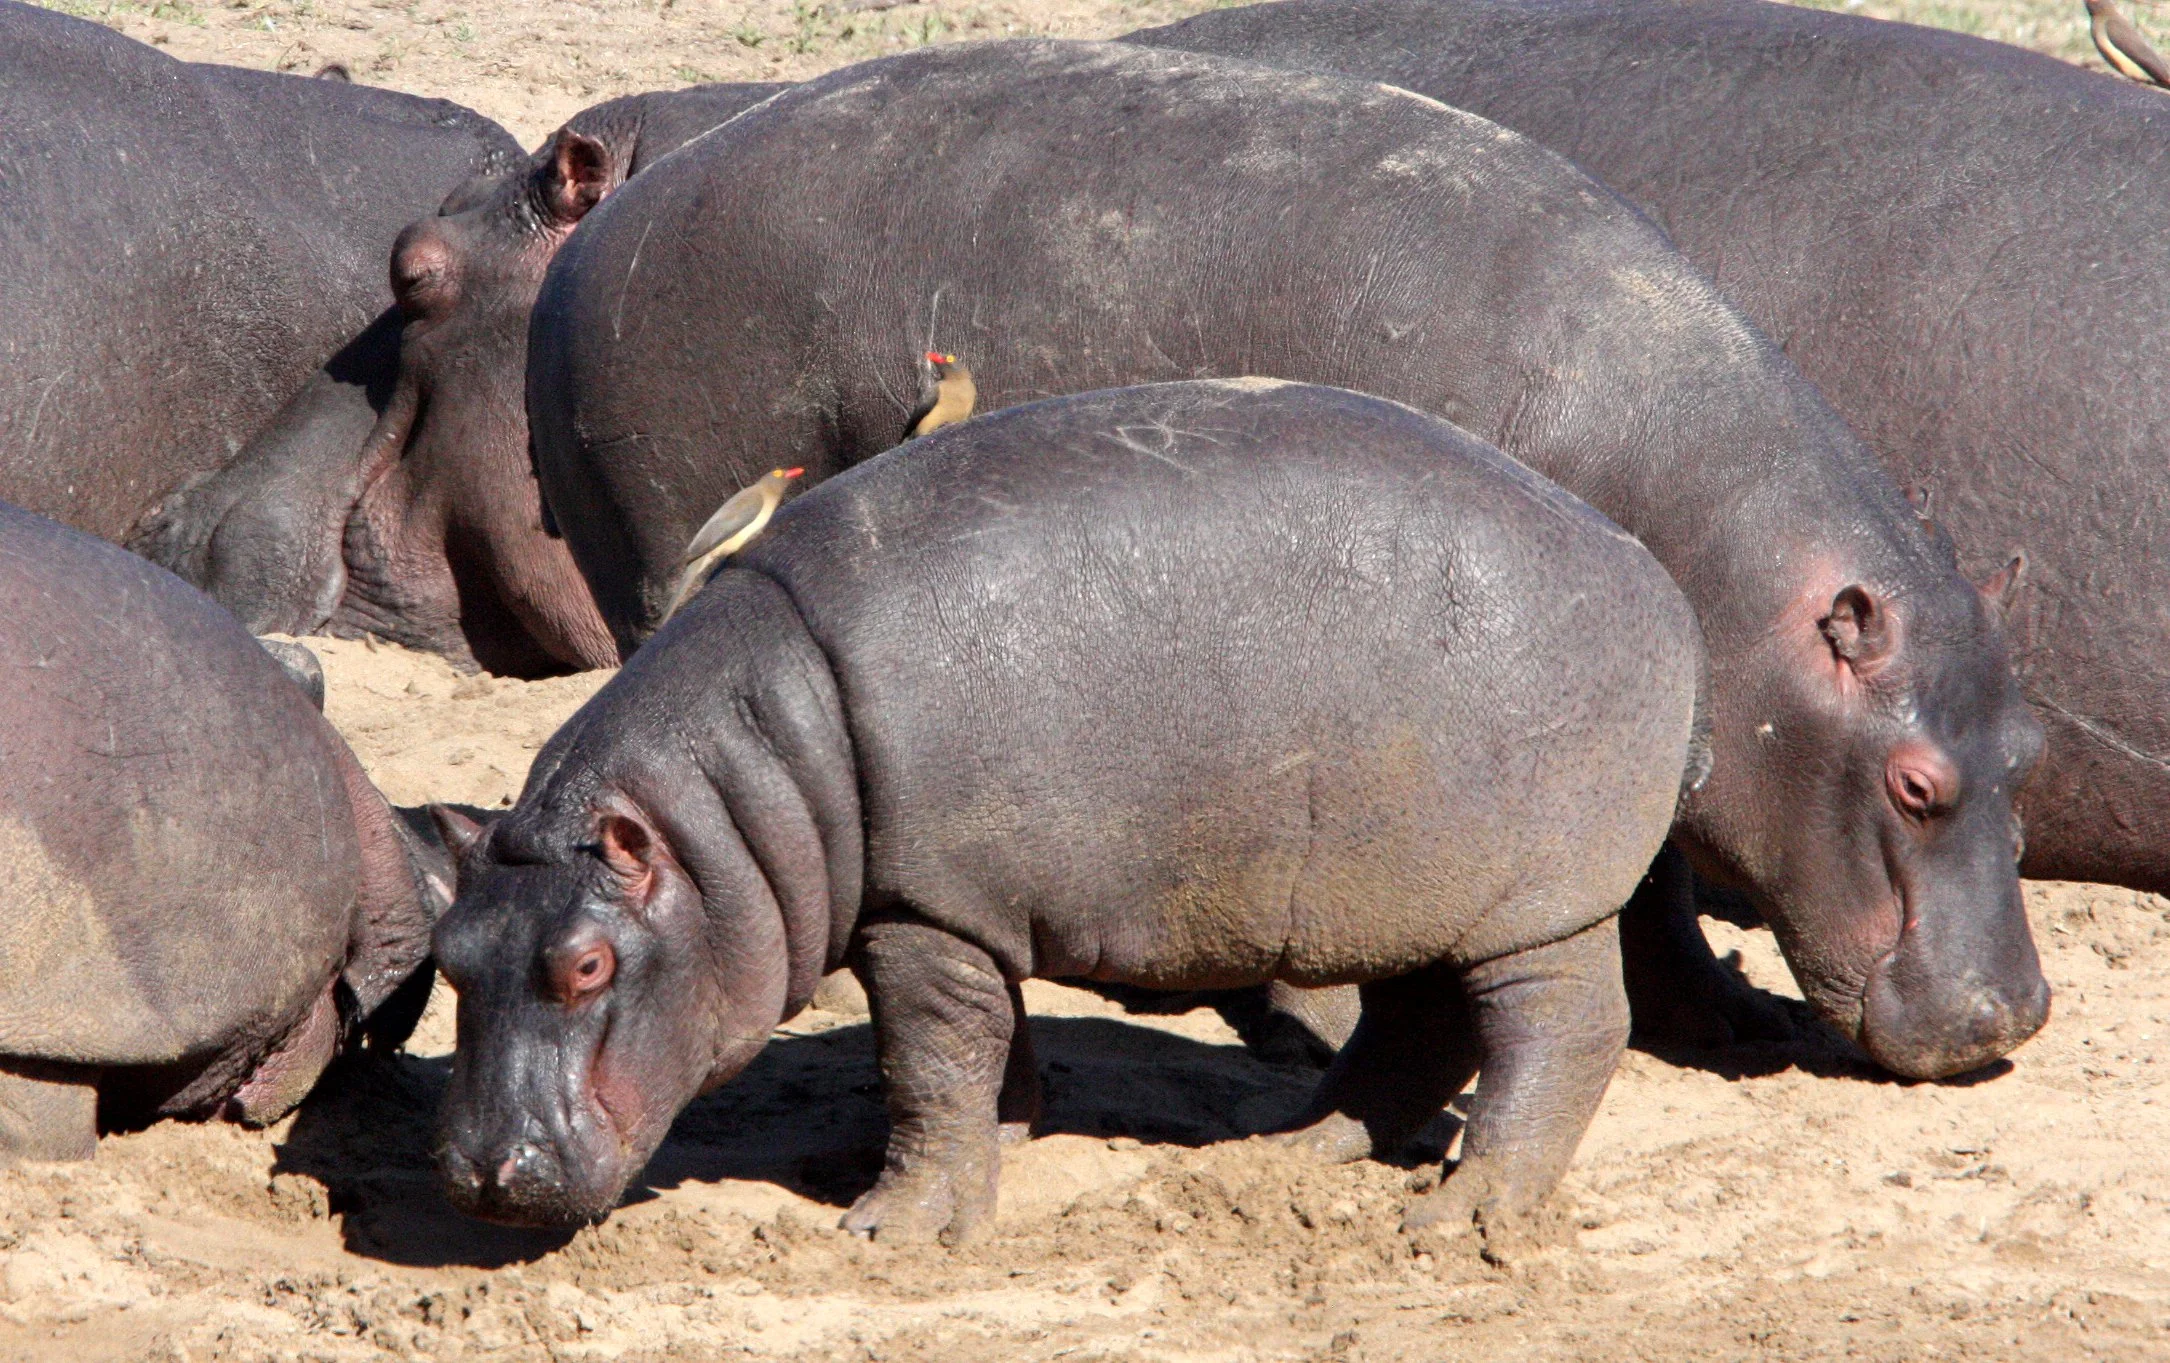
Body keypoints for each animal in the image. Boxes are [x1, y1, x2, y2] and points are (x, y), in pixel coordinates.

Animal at [432, 379, 1704, 1241]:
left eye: (587, 966)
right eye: (448, 952)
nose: (481, 1175)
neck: (732, 805)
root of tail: (1650, 572)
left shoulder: (925, 908)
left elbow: (926, 1057)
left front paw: (891, 1225)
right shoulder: (967, 906)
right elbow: (982, 1046)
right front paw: (1002, 1138)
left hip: (1538, 899)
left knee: (1561, 1032)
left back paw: (1463, 1214)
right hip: (1405, 886)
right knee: (1416, 1028)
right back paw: (1293, 1152)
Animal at [525, 39, 2045, 1079]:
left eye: (2027, 744)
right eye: (1914, 782)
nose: (2009, 1015)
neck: (1732, 562)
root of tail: (597, 229)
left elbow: (1650, 861)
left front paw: (1717, 1011)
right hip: (663, 546)